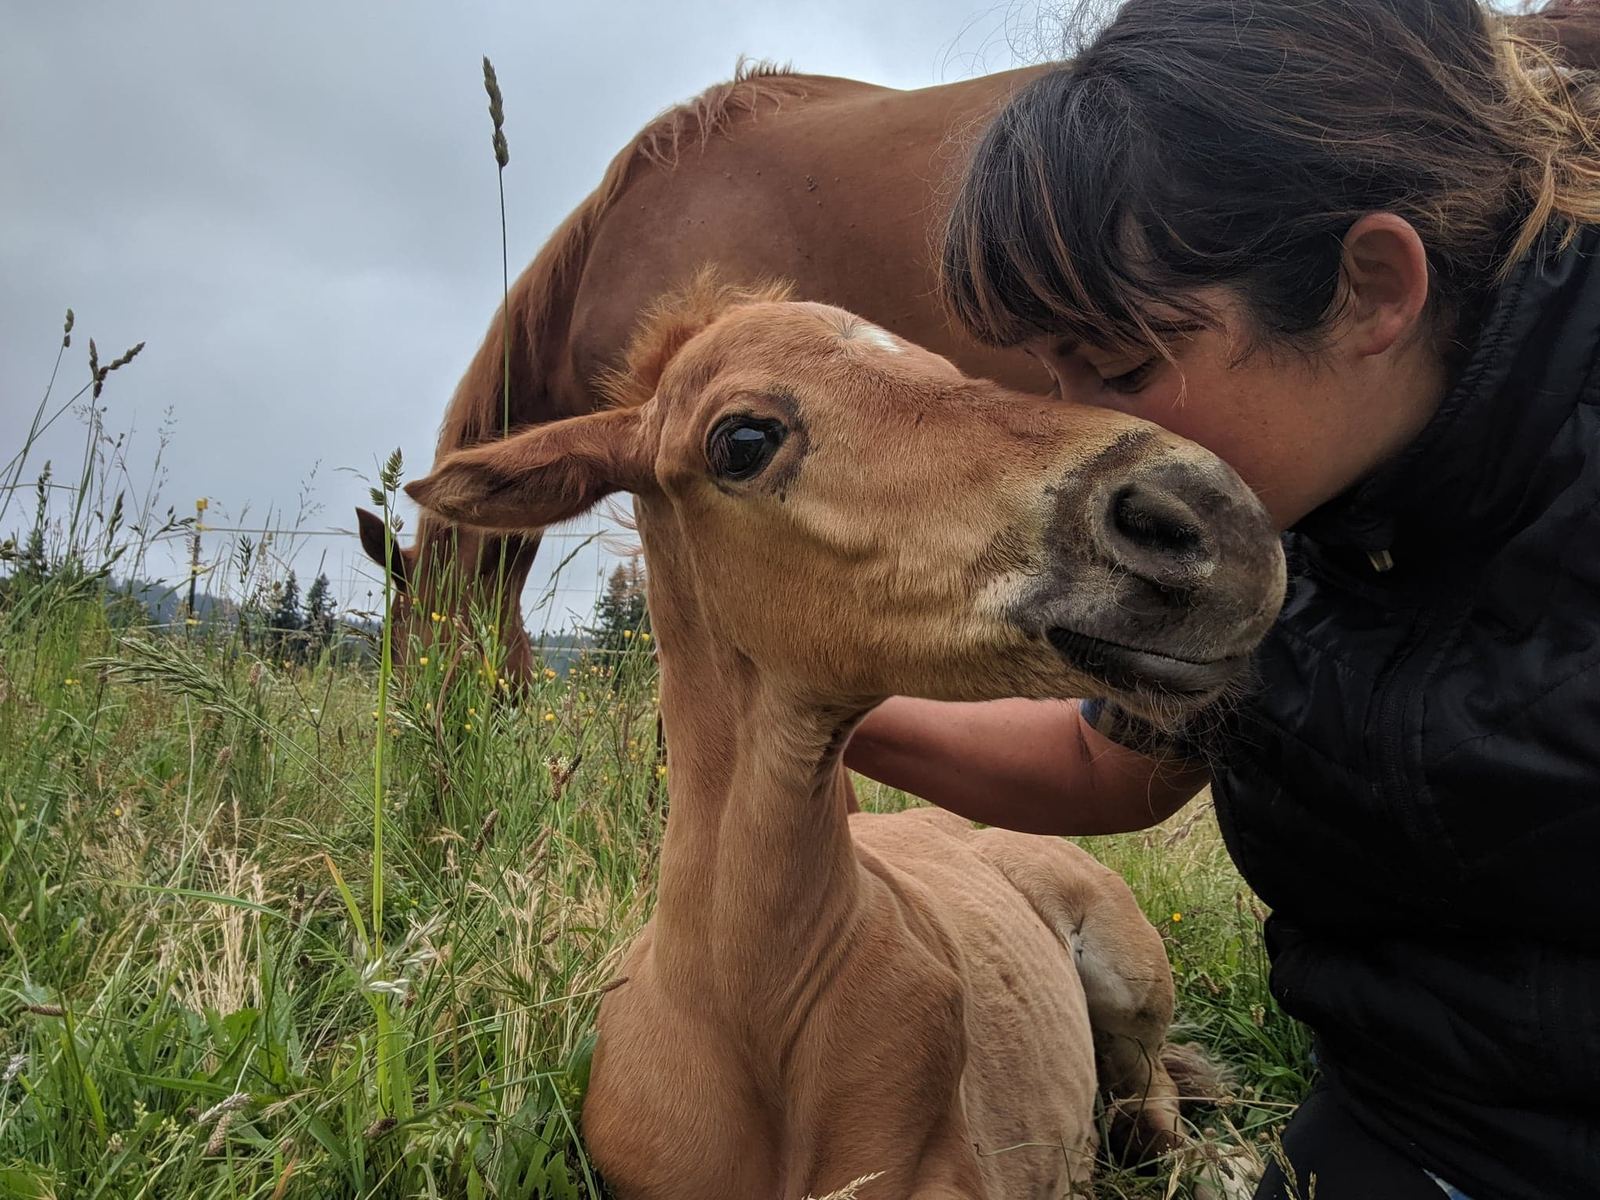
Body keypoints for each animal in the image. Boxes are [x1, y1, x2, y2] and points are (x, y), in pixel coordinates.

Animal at [404, 277, 1288, 1198]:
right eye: (743, 440)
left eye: (950, 372)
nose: (1206, 515)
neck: (747, 1012)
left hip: (1132, 971)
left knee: (1152, 1097)